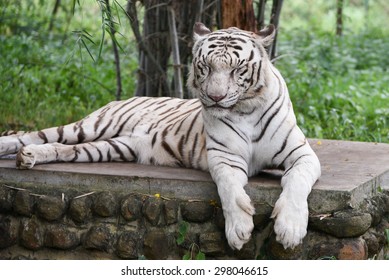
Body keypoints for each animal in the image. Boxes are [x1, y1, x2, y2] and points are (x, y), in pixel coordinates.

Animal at [0, 23, 320, 249]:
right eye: (205, 67)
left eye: (237, 69)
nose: (215, 98)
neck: (245, 109)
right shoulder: (225, 157)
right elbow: (230, 190)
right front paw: (239, 229)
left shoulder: (302, 154)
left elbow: (296, 183)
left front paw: (290, 229)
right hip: (92, 126)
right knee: (36, 134)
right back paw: (16, 148)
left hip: (112, 147)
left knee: (62, 148)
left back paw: (29, 158)